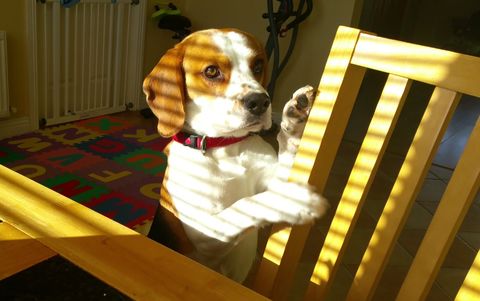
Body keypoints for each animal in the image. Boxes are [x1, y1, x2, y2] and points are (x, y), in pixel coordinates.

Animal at [144, 28, 328, 282]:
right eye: (211, 71)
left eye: (258, 65)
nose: (260, 101)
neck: (226, 147)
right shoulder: (205, 235)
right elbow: (244, 205)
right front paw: (296, 201)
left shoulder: (275, 180)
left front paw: (294, 121)